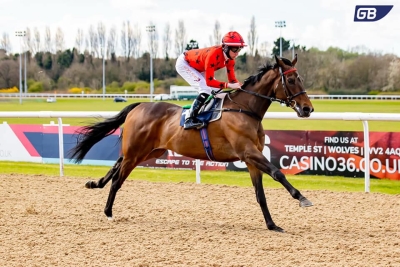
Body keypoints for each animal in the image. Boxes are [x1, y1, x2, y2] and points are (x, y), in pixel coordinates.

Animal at [69, 54, 316, 232]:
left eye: (301, 79)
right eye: (291, 80)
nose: (307, 108)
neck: (245, 109)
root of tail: (139, 106)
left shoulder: (251, 159)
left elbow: (260, 194)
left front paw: (272, 225)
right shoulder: (248, 152)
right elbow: (277, 172)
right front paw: (302, 198)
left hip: (149, 152)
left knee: (116, 165)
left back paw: (94, 184)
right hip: (135, 153)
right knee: (118, 179)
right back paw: (108, 212)